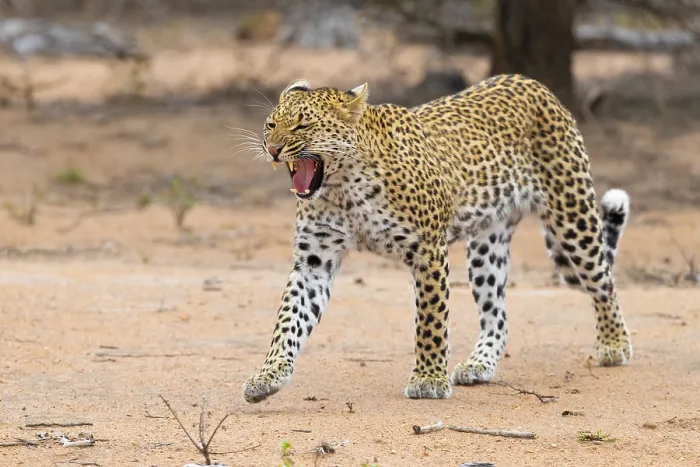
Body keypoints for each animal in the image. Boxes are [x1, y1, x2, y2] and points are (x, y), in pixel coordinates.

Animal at [241, 73, 632, 403]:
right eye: (271, 124)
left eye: (302, 124)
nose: (272, 148)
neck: (342, 189)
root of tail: (533, 83)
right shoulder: (314, 260)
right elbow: (289, 321)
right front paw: (268, 376)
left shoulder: (427, 250)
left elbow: (430, 320)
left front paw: (428, 380)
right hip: (486, 246)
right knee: (496, 314)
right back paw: (479, 365)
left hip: (573, 216)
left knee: (604, 281)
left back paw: (614, 344)